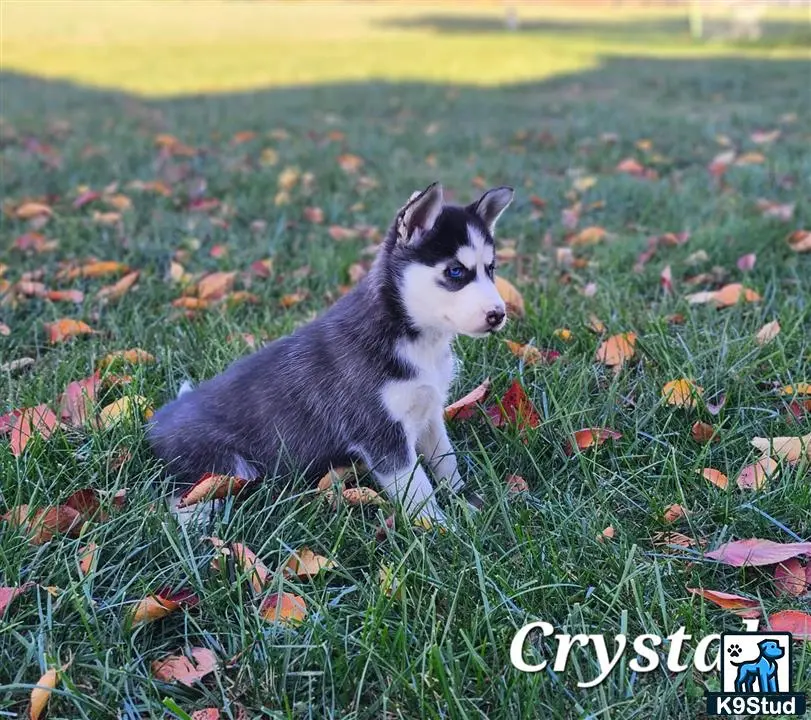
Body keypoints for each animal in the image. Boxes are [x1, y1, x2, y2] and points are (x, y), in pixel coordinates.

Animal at [147, 182, 514, 523]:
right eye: (456, 271)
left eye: (491, 269)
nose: (498, 315)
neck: (414, 337)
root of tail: (155, 422)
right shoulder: (380, 432)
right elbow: (419, 489)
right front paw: (441, 528)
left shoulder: (430, 413)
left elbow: (446, 461)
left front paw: (466, 502)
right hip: (225, 466)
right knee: (176, 502)